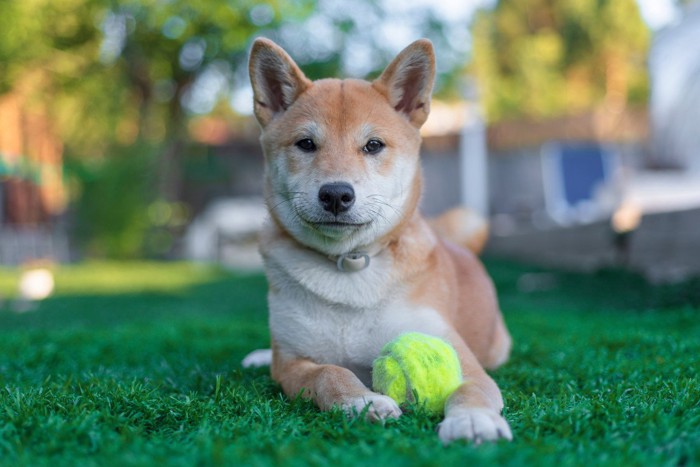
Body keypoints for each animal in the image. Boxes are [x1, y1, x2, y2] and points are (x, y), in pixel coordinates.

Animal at [246, 36, 516, 446]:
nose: (336, 194)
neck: (348, 265)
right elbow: (329, 372)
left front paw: (473, 421)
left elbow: (470, 389)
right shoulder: (292, 364)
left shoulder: (460, 357)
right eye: (306, 143)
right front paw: (361, 401)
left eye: (373, 145)